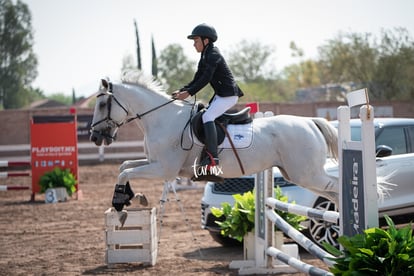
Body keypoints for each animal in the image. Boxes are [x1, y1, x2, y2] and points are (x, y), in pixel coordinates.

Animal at [90, 71, 340, 211]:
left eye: (102, 104)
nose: (94, 137)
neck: (162, 118)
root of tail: (311, 122)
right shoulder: (154, 163)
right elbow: (124, 167)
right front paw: (131, 197)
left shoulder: (164, 169)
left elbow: (125, 172)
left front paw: (119, 201)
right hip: (298, 174)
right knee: (332, 193)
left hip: (307, 175)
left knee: (336, 186)